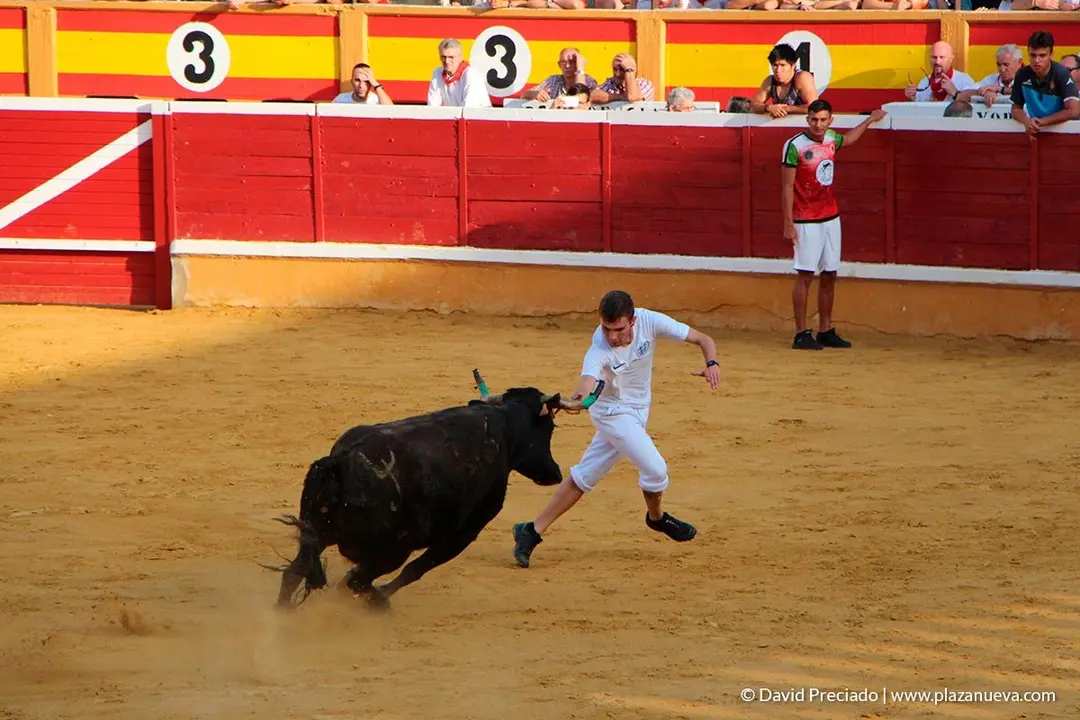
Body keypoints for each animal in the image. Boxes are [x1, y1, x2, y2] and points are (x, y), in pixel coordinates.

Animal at [270, 370, 605, 611]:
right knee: (359, 578)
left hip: (317, 533)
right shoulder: (464, 532)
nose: (555, 473)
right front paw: (380, 598)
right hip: (391, 549)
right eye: (549, 429)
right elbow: (417, 568)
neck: (504, 428)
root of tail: (339, 463)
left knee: (295, 573)